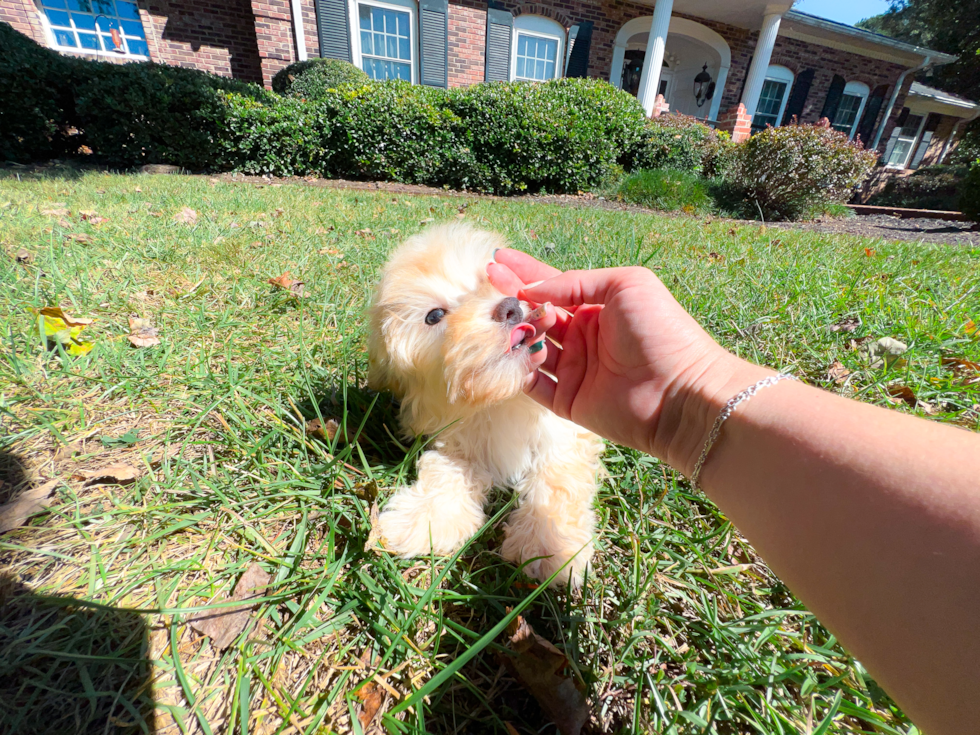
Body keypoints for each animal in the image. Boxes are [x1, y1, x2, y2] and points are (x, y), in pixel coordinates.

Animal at [366, 221, 600, 588]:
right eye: (434, 315)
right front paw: (423, 518)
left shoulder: (564, 432)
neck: (501, 396)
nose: (510, 307)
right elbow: (448, 471)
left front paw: (547, 544)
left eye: (491, 279)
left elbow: (558, 478)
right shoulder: (455, 436)